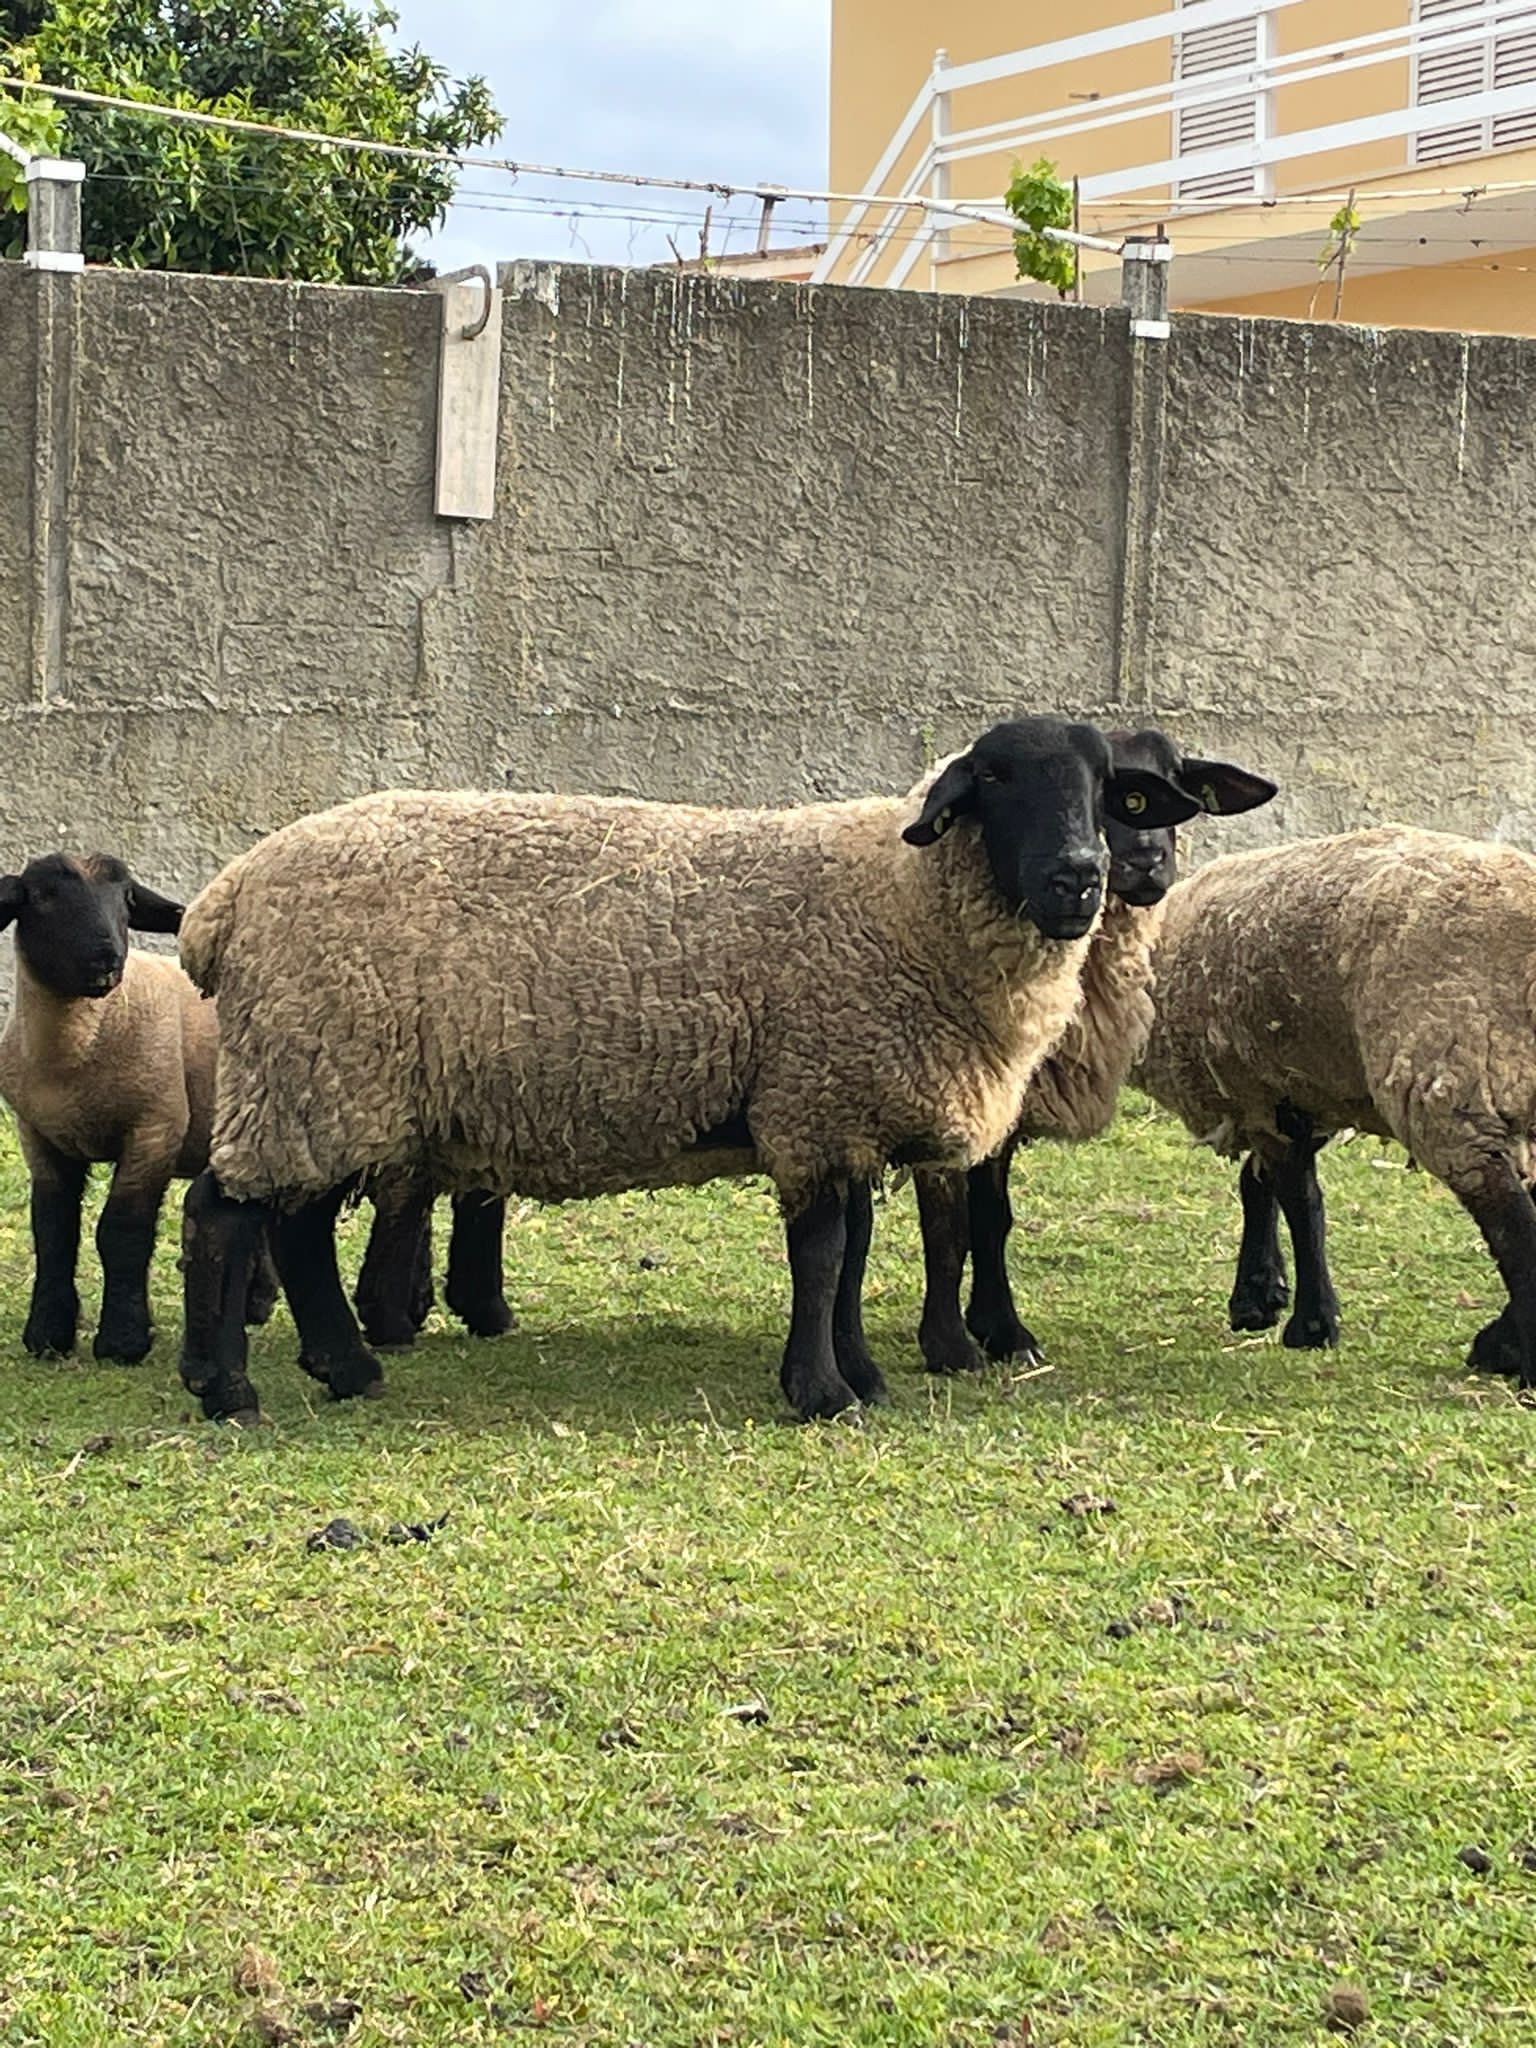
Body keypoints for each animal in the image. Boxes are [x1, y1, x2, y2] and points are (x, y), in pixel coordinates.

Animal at [0, 847, 280, 1359]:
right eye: (43, 896)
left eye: (127, 901)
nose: (106, 959)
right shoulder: (39, 1137)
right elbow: (52, 1231)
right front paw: (48, 1335)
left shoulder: (154, 1130)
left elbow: (122, 1231)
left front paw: (123, 1340)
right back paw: (257, 1302)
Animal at [171, 716, 1204, 1425]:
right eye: (994, 778)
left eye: (1109, 789)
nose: (1082, 876)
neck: (904, 900)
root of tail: (224, 900)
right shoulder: (814, 1101)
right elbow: (824, 1254)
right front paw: (822, 1391)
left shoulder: (837, 1107)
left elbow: (854, 1253)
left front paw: (860, 1374)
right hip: (308, 1069)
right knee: (228, 1214)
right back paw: (228, 1390)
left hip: (324, 1085)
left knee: (294, 1228)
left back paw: (343, 1370)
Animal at [1146, 823, 1536, 1384]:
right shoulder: (1299, 1089)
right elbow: (1263, 1184)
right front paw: (1260, 1295)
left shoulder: (1259, 1090)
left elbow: (1300, 1199)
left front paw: (1311, 1323)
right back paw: (1501, 1346)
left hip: (1448, 1079)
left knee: (1511, 1221)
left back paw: (1516, 1355)